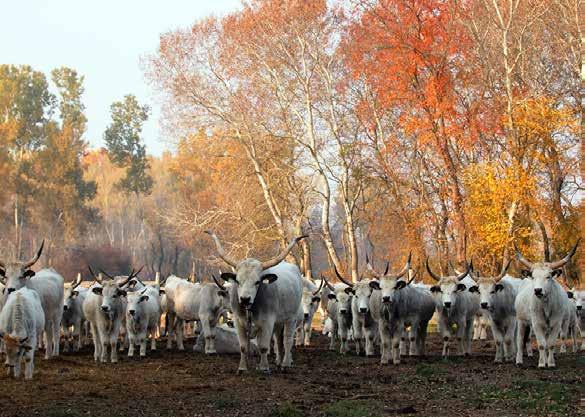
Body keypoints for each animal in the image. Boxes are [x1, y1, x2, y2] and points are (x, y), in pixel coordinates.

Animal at [205, 231, 304, 374]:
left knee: (287, 340)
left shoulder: (267, 321)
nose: (245, 299)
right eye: (238, 281)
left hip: (291, 318)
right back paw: (278, 362)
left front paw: (264, 367)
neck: (251, 309)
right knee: (279, 340)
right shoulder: (238, 322)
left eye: (257, 282)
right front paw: (242, 368)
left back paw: (285, 364)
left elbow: (263, 346)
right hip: (278, 321)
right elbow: (243, 347)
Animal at [516, 240, 580, 368]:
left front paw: (550, 363)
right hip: (521, 321)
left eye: (548, 276)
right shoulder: (536, 323)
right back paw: (519, 360)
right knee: (520, 340)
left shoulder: (556, 323)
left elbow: (550, 344)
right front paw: (541, 363)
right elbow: (541, 344)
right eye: (533, 276)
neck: (546, 306)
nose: (537, 290)